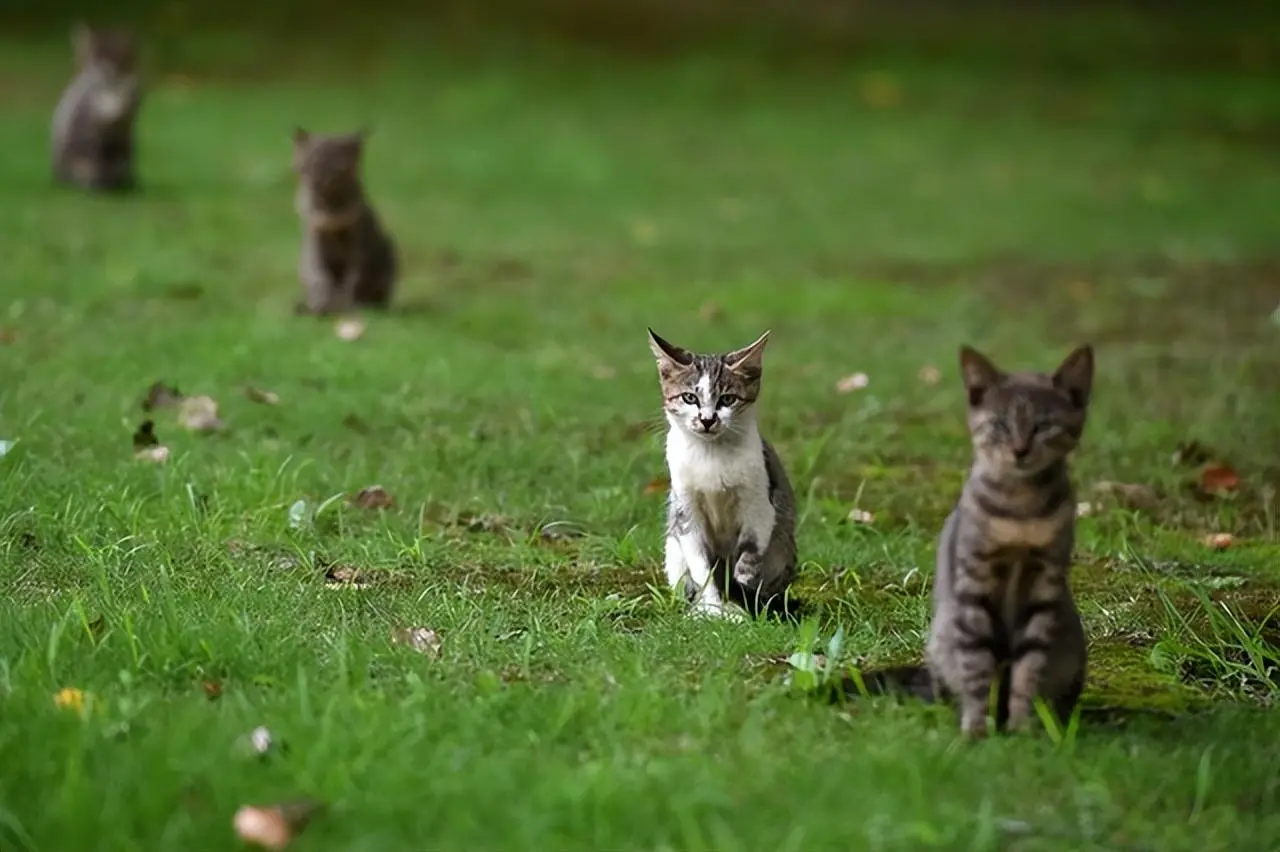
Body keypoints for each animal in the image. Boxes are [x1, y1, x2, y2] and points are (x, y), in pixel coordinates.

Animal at [290, 131, 394, 317]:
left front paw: (348, 307)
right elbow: (320, 279)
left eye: (336, 166)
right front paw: (323, 306)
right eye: (309, 164)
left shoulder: (358, 245)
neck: (331, 209)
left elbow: (353, 281)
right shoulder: (314, 243)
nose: (318, 180)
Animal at [650, 326, 798, 616]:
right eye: (689, 398)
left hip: (783, 545)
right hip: (672, 549)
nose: (707, 420)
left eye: (728, 399)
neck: (711, 456)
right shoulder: (686, 509)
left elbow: (752, 546)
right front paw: (714, 608)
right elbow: (701, 566)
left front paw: (743, 579)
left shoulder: (760, 499)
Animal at [844, 342, 1095, 731]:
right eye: (1000, 424)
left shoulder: (1045, 586)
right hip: (945, 634)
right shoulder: (974, 586)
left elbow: (1030, 669)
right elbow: (978, 669)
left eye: (1043, 426)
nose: (1020, 450)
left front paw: (1022, 730)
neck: (1020, 509)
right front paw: (977, 729)